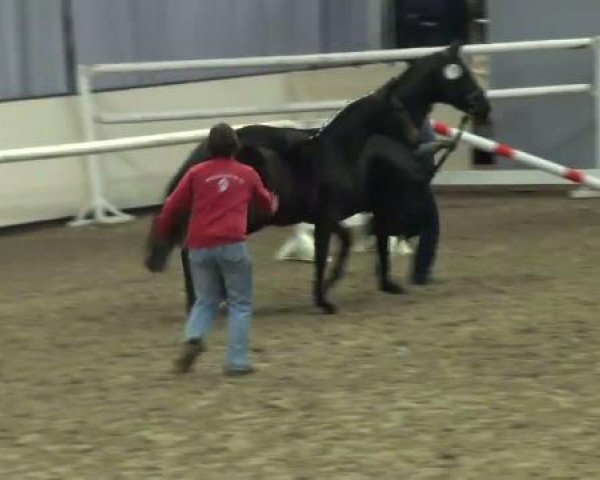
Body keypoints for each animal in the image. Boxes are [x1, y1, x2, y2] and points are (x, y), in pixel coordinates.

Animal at [148, 43, 490, 316]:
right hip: (244, 218)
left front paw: (377, 284)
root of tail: (205, 149)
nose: (483, 106)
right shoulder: (345, 213)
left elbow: (358, 242)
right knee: (189, 249)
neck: (342, 150)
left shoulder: (341, 214)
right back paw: (200, 301)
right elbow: (333, 252)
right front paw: (325, 300)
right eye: (461, 73)